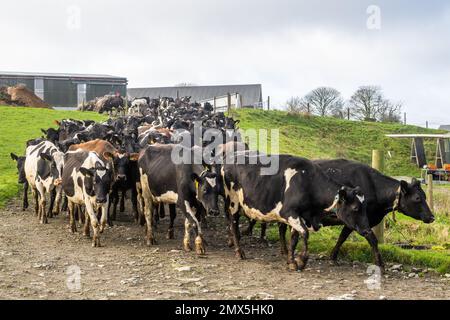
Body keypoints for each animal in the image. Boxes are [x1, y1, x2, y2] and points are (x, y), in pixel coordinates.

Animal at [221, 154, 372, 272]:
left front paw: (291, 261)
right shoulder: (288, 212)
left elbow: (294, 239)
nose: (367, 230)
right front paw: (301, 260)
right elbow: (305, 233)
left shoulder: (300, 216)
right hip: (233, 201)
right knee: (233, 224)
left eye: (365, 207)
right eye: (355, 208)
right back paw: (239, 252)